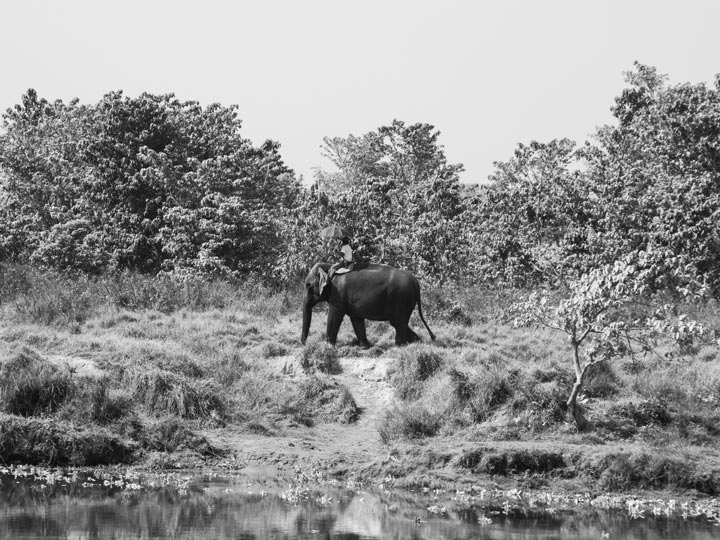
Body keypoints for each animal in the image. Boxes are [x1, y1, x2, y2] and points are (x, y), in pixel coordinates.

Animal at [298, 262, 434, 346]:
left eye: (308, 285)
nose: (305, 344)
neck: (330, 266)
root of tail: (416, 283)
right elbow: (356, 320)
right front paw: (365, 346)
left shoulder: (338, 294)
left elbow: (334, 316)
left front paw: (328, 346)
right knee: (400, 323)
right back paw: (417, 341)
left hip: (401, 299)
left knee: (398, 323)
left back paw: (398, 346)